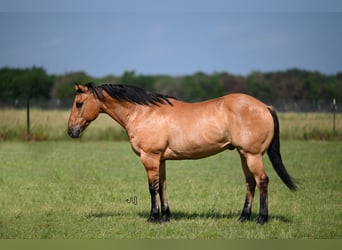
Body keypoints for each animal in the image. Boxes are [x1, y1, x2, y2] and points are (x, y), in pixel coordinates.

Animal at [67, 82, 296, 225]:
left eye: (79, 103)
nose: (71, 131)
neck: (143, 112)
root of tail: (264, 106)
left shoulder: (149, 157)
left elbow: (152, 188)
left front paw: (153, 217)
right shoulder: (160, 159)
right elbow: (162, 186)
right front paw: (165, 216)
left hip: (252, 155)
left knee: (262, 181)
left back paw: (261, 219)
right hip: (243, 155)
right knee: (250, 183)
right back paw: (243, 217)